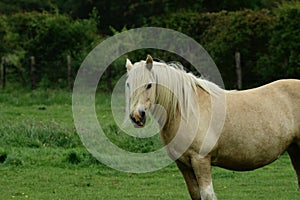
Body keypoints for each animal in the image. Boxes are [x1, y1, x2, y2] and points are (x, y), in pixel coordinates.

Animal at [125, 54, 300, 200]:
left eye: (149, 85)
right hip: (294, 150)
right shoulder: (183, 165)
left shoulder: (200, 160)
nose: (137, 116)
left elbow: (207, 195)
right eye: (127, 85)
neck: (187, 110)